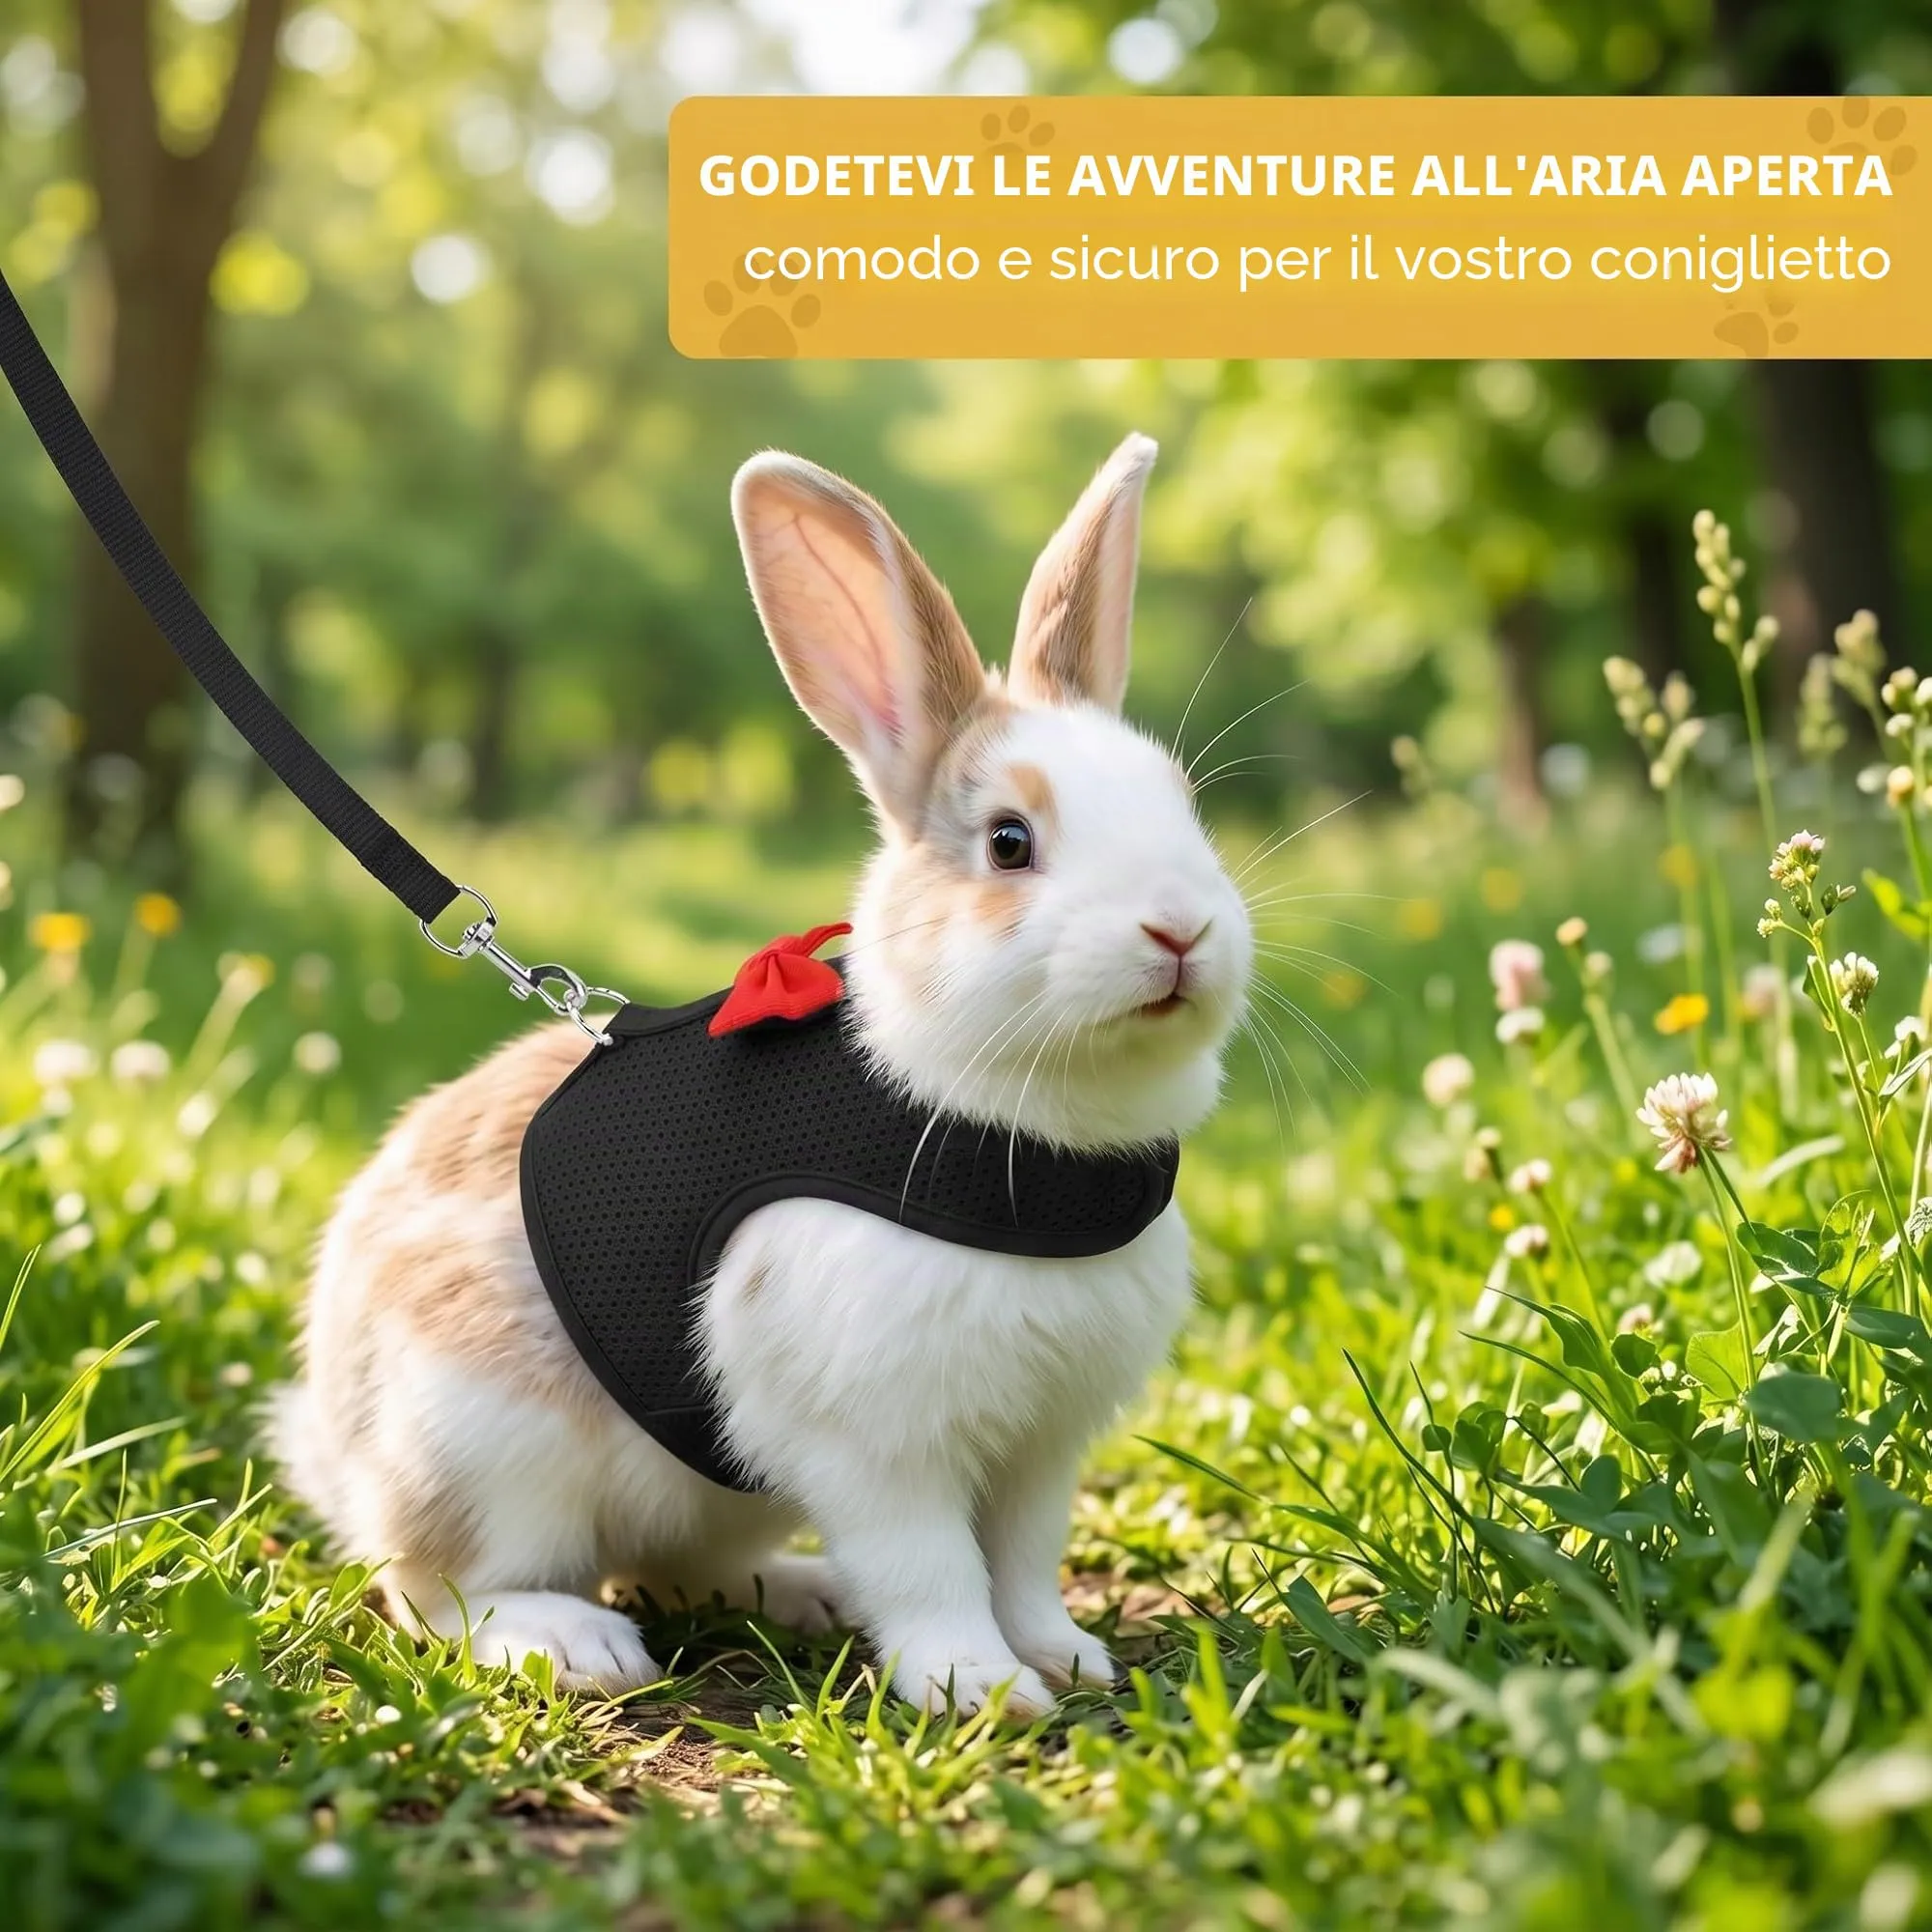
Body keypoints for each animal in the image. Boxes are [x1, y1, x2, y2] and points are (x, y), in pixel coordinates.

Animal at [268, 432, 1253, 1715]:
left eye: (1185, 809)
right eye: (1008, 842)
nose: (1180, 929)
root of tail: (341, 1452)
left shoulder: (1041, 1443)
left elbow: (1023, 1559)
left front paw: (1064, 1656)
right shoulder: (872, 1436)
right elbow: (931, 1565)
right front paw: (977, 1687)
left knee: (678, 1565)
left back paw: (799, 1593)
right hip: (489, 1445)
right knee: (437, 1586)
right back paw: (574, 1642)